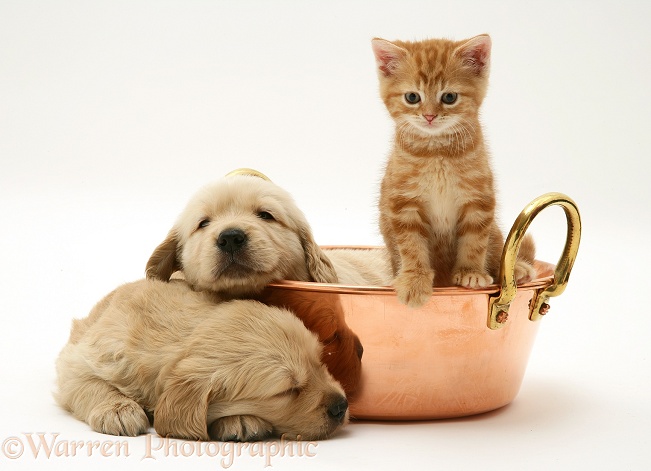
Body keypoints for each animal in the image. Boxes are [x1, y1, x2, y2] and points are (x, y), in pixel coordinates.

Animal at [56, 278, 348, 440]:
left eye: (320, 363)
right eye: (287, 391)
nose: (342, 406)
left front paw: (240, 420)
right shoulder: (80, 357)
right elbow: (88, 382)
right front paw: (118, 410)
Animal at [372, 35, 536, 308]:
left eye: (449, 97)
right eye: (412, 97)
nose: (429, 116)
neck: (437, 152)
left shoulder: (478, 199)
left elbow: (475, 240)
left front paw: (471, 272)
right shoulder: (403, 204)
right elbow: (411, 245)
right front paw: (414, 279)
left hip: (496, 232)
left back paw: (519, 269)